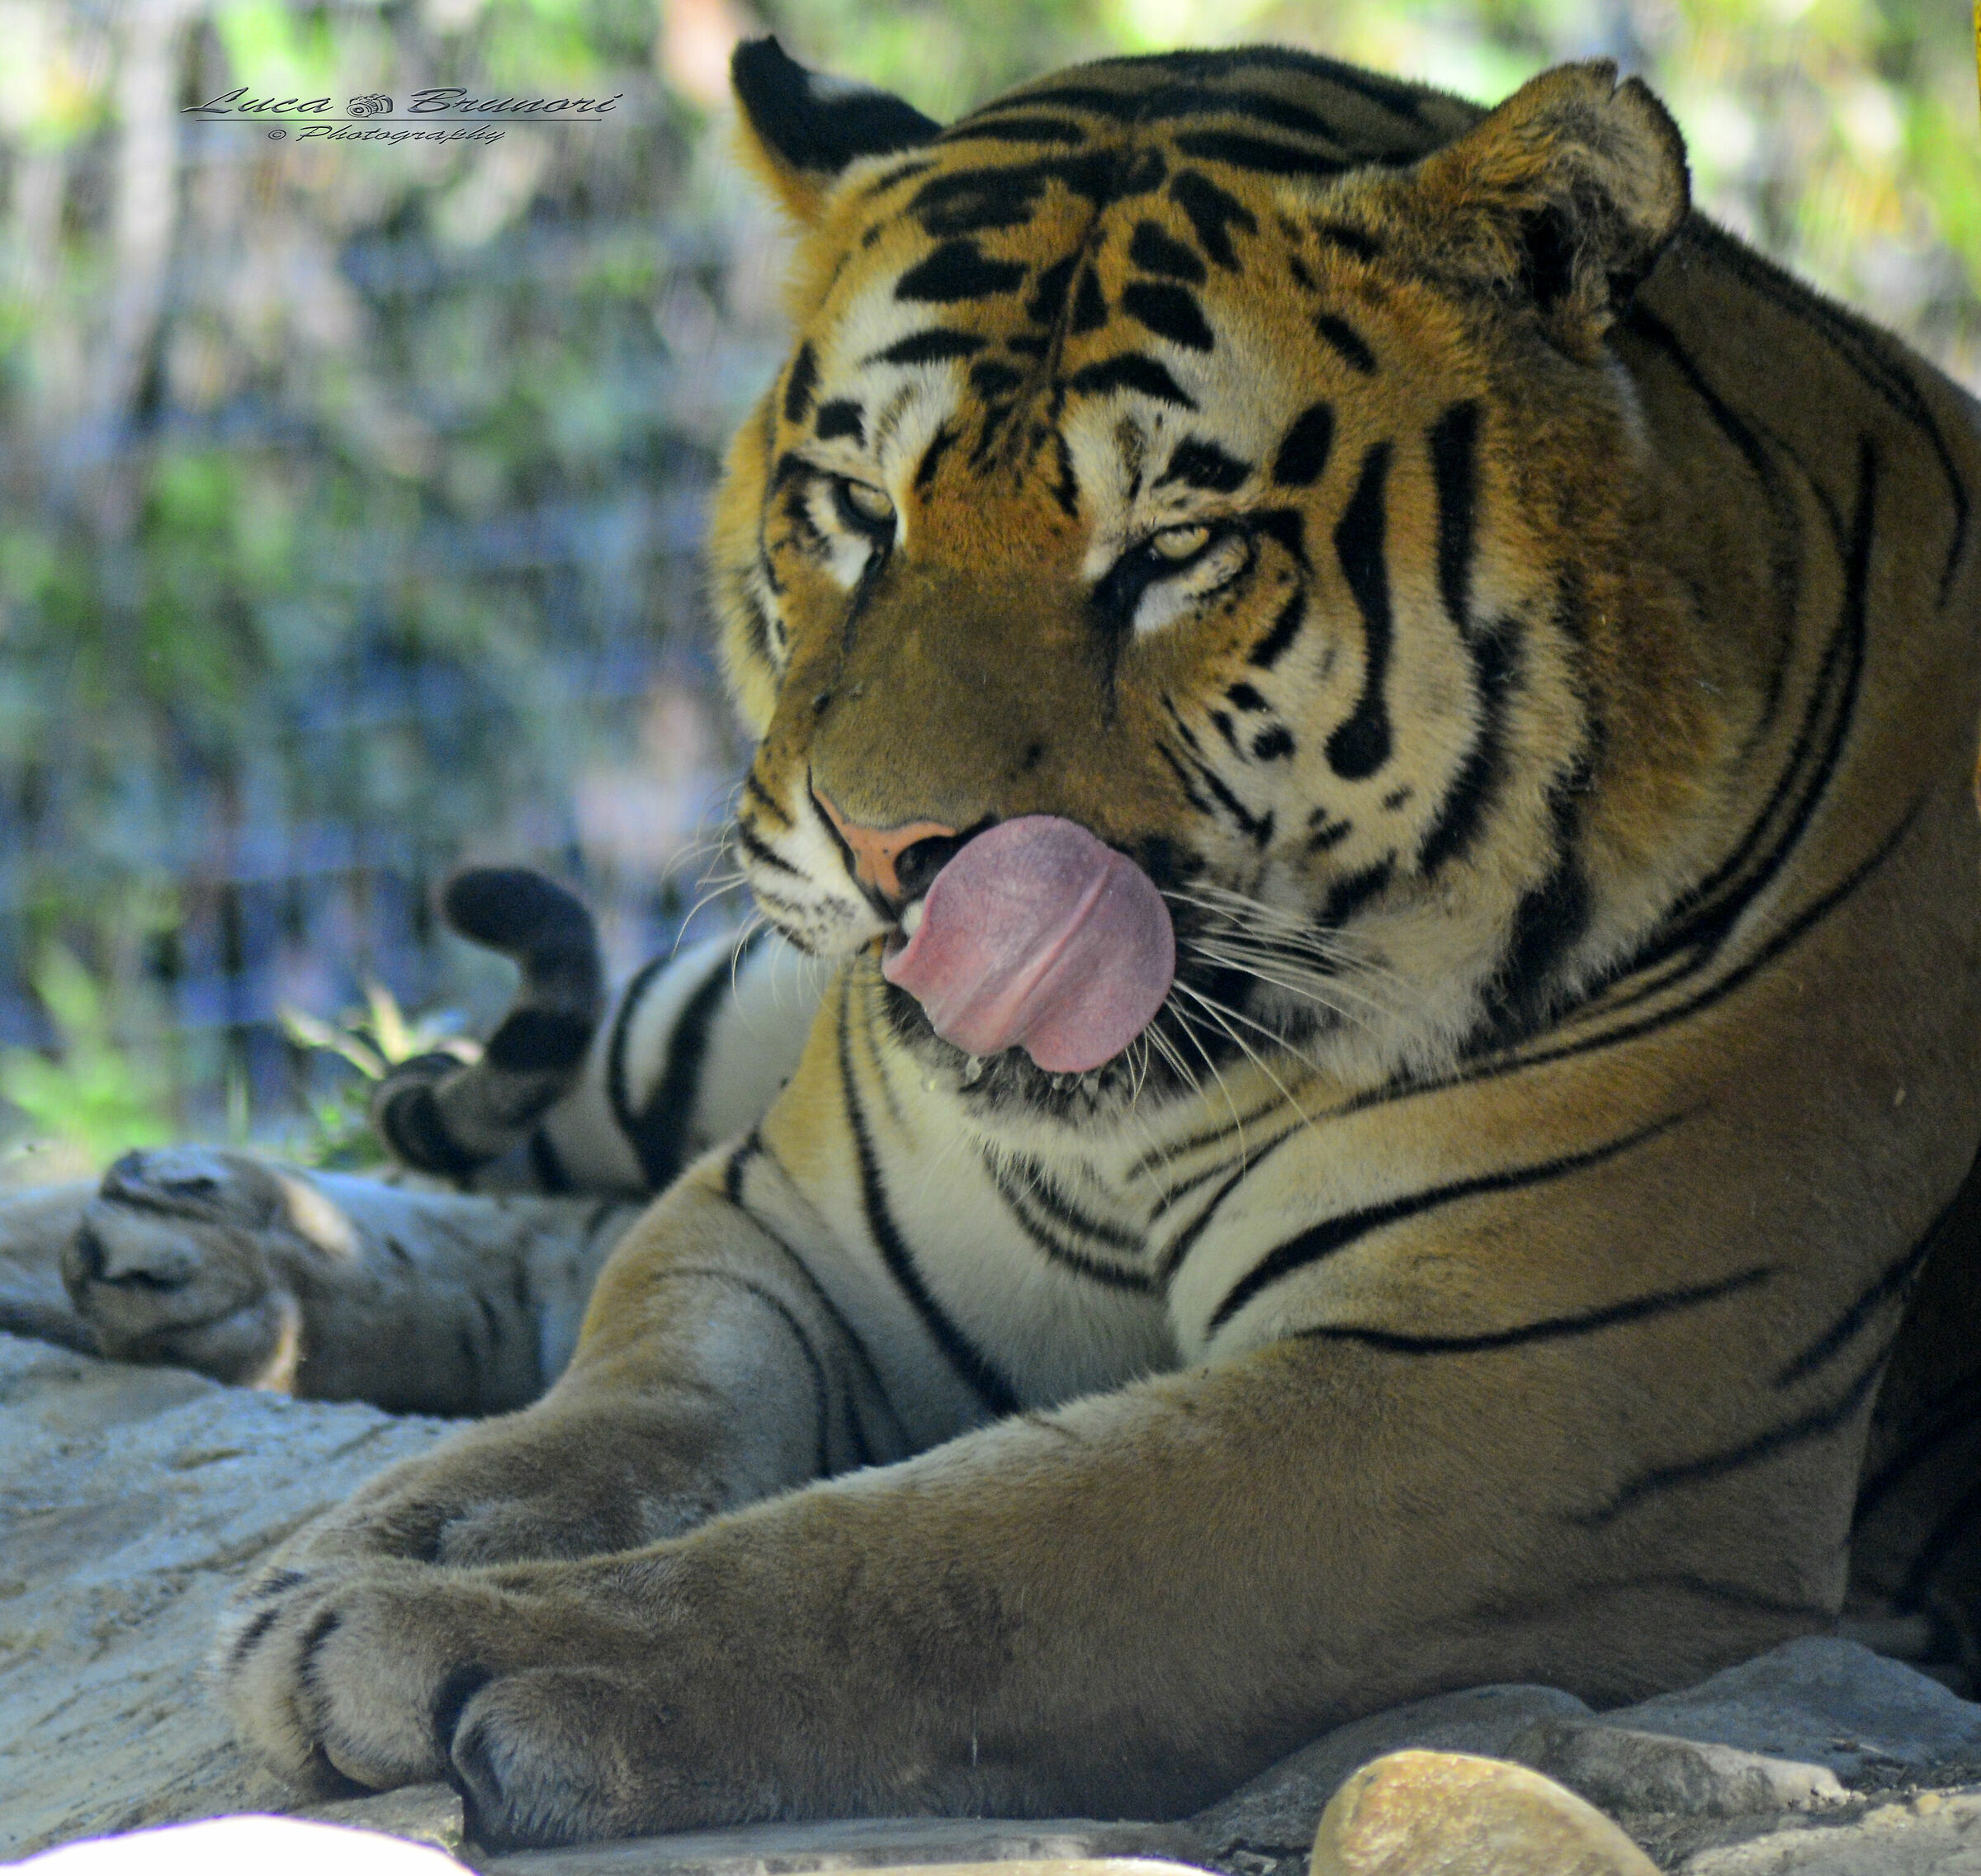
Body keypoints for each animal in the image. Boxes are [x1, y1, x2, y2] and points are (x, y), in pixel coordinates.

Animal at [13, 34, 1981, 1852]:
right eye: (858, 509)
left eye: (1176, 545)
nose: (894, 853)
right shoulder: (794, 1217)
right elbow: (638, 1375)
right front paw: (425, 1522)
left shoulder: (1515, 1393)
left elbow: (943, 1556)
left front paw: (456, 1634)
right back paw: (189, 1244)